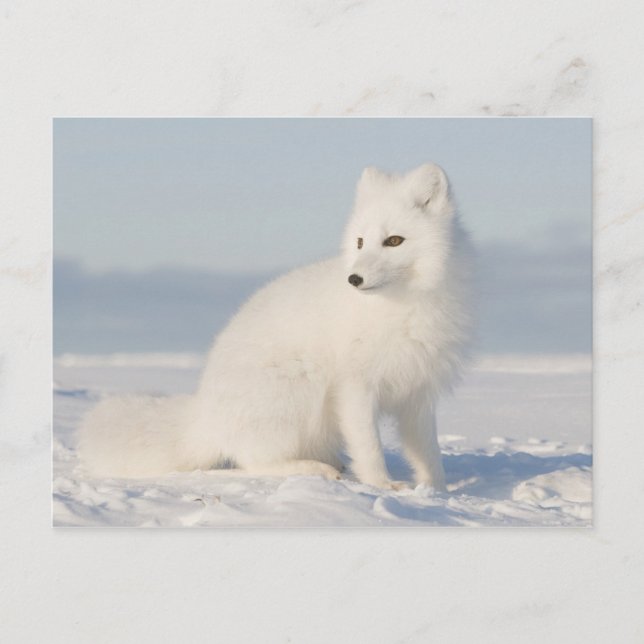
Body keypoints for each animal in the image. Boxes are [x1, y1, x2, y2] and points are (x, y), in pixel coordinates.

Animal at [79, 163, 473, 491]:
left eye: (394, 241)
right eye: (360, 241)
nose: (354, 278)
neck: (404, 306)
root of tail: (205, 417)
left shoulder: (418, 390)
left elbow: (427, 450)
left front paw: (437, 490)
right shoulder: (355, 387)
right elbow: (369, 445)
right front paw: (384, 485)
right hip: (295, 388)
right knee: (253, 463)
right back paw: (315, 468)